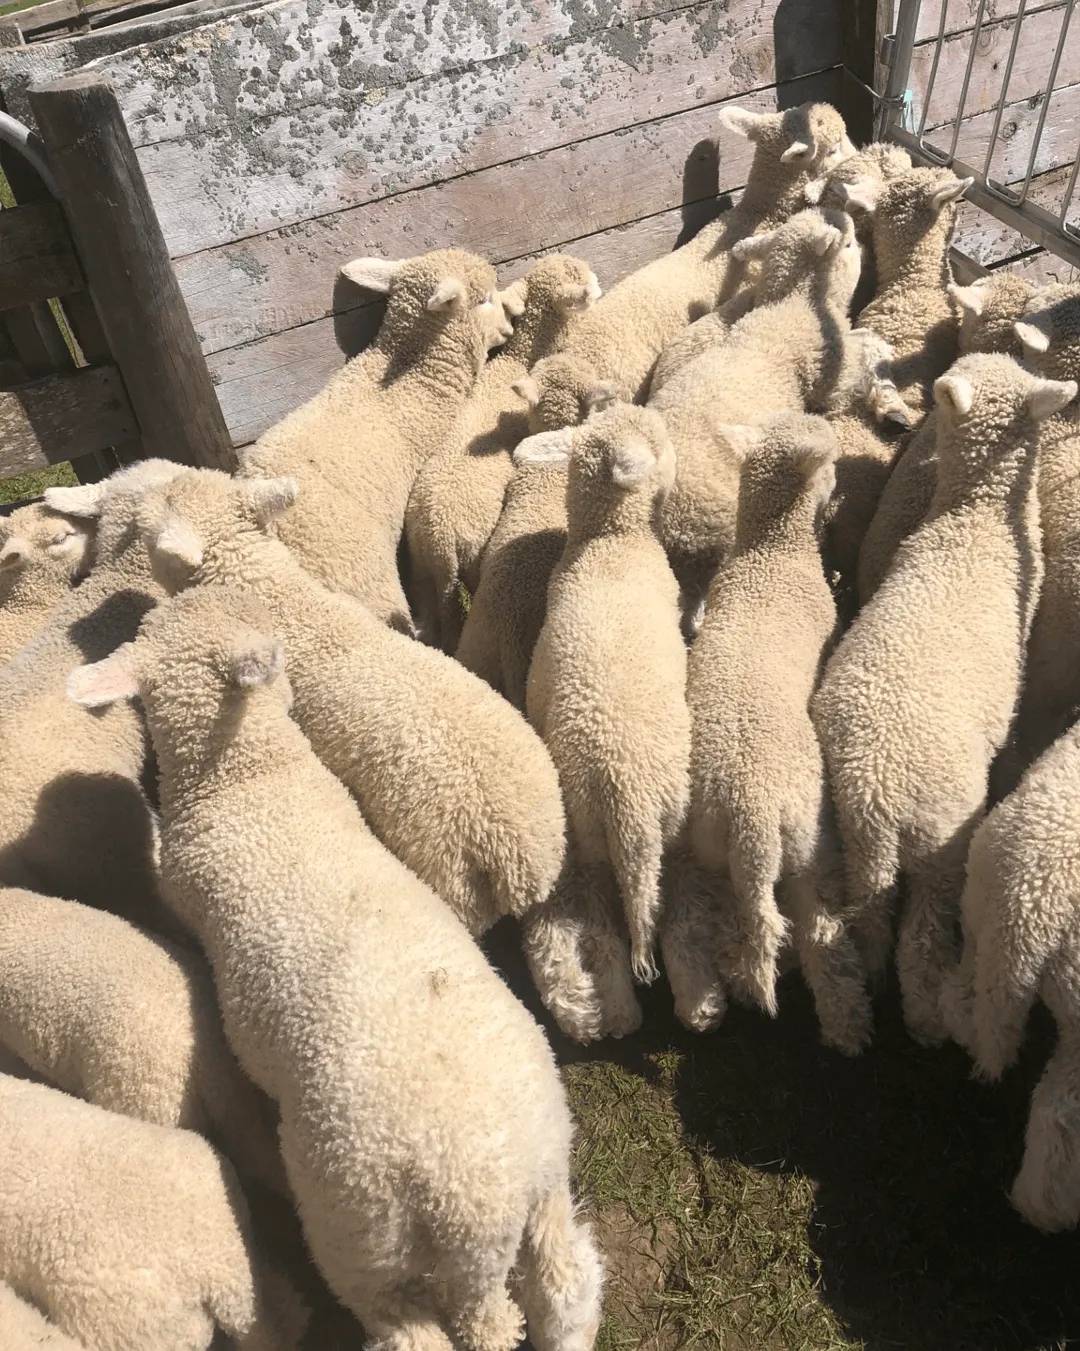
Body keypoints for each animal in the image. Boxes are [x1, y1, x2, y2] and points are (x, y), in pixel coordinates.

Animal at [68, 584, 603, 1351]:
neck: (249, 779)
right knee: (563, 1286)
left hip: (358, 1236)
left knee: (427, 1328)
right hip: (547, 1174)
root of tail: (472, 1207)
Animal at [404, 256, 600, 651]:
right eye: (582, 281)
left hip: (421, 572)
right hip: (473, 557)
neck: (519, 360)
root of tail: (439, 535)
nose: (599, 281)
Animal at [662, 413, 871, 1051]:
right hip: (805, 840)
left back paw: (715, 993)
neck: (769, 551)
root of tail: (750, 811)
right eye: (831, 459)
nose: (839, 487)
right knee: (815, 926)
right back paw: (847, 1022)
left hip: (709, 841)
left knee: (725, 921)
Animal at [813, 354, 1077, 1046]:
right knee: (921, 939)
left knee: (870, 917)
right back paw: (929, 1022)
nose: (913, 416)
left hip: (851, 838)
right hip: (941, 842)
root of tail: (877, 790)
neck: (971, 520)